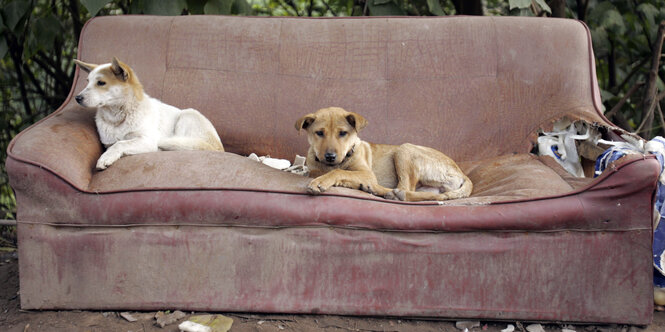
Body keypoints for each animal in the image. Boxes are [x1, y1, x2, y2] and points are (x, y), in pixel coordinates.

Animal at [74, 57, 222, 170]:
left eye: (101, 83)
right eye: (87, 82)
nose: (77, 98)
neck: (119, 118)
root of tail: (218, 148)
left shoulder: (147, 140)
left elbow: (121, 143)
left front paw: (106, 158)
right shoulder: (108, 144)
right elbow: (116, 144)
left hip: (187, 115)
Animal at [296, 107, 472, 201]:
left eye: (343, 133)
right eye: (319, 133)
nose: (330, 156)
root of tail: (462, 174)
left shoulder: (367, 173)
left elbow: (339, 171)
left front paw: (323, 181)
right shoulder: (314, 169)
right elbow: (323, 171)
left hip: (404, 149)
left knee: (405, 189)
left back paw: (385, 192)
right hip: (428, 188)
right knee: (432, 196)